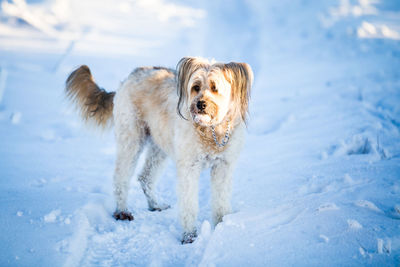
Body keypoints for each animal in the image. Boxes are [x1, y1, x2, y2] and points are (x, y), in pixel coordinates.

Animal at [65, 57, 253, 245]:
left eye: (215, 87)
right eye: (196, 87)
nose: (200, 104)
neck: (210, 130)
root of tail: (128, 78)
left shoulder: (223, 166)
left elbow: (221, 201)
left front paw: (222, 227)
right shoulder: (189, 168)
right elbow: (189, 204)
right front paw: (189, 236)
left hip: (159, 147)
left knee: (145, 177)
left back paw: (155, 205)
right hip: (131, 140)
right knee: (121, 177)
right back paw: (122, 211)